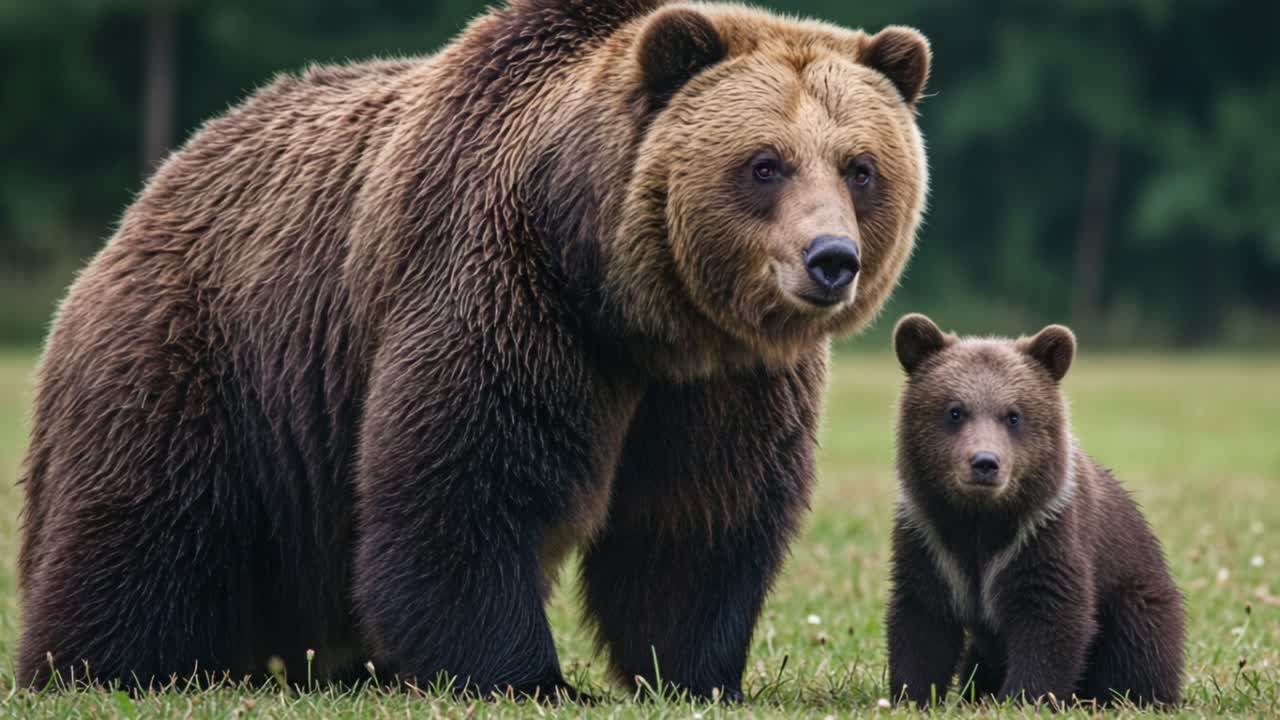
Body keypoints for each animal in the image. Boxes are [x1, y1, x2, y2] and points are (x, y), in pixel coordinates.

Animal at [17, 0, 931, 700]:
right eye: (765, 163)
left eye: (860, 167)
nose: (830, 259)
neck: (634, 309)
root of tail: (151, 192)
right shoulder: (500, 286)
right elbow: (464, 479)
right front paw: (528, 676)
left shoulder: (725, 379)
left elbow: (698, 518)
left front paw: (693, 673)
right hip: (204, 360)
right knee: (144, 530)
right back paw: (99, 665)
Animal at [885, 314, 1186, 707]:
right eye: (955, 410)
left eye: (1013, 415)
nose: (985, 463)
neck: (980, 520)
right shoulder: (930, 539)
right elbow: (922, 619)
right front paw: (912, 695)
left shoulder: (1043, 531)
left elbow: (1050, 617)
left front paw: (1024, 696)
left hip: (1135, 596)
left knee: (1138, 646)